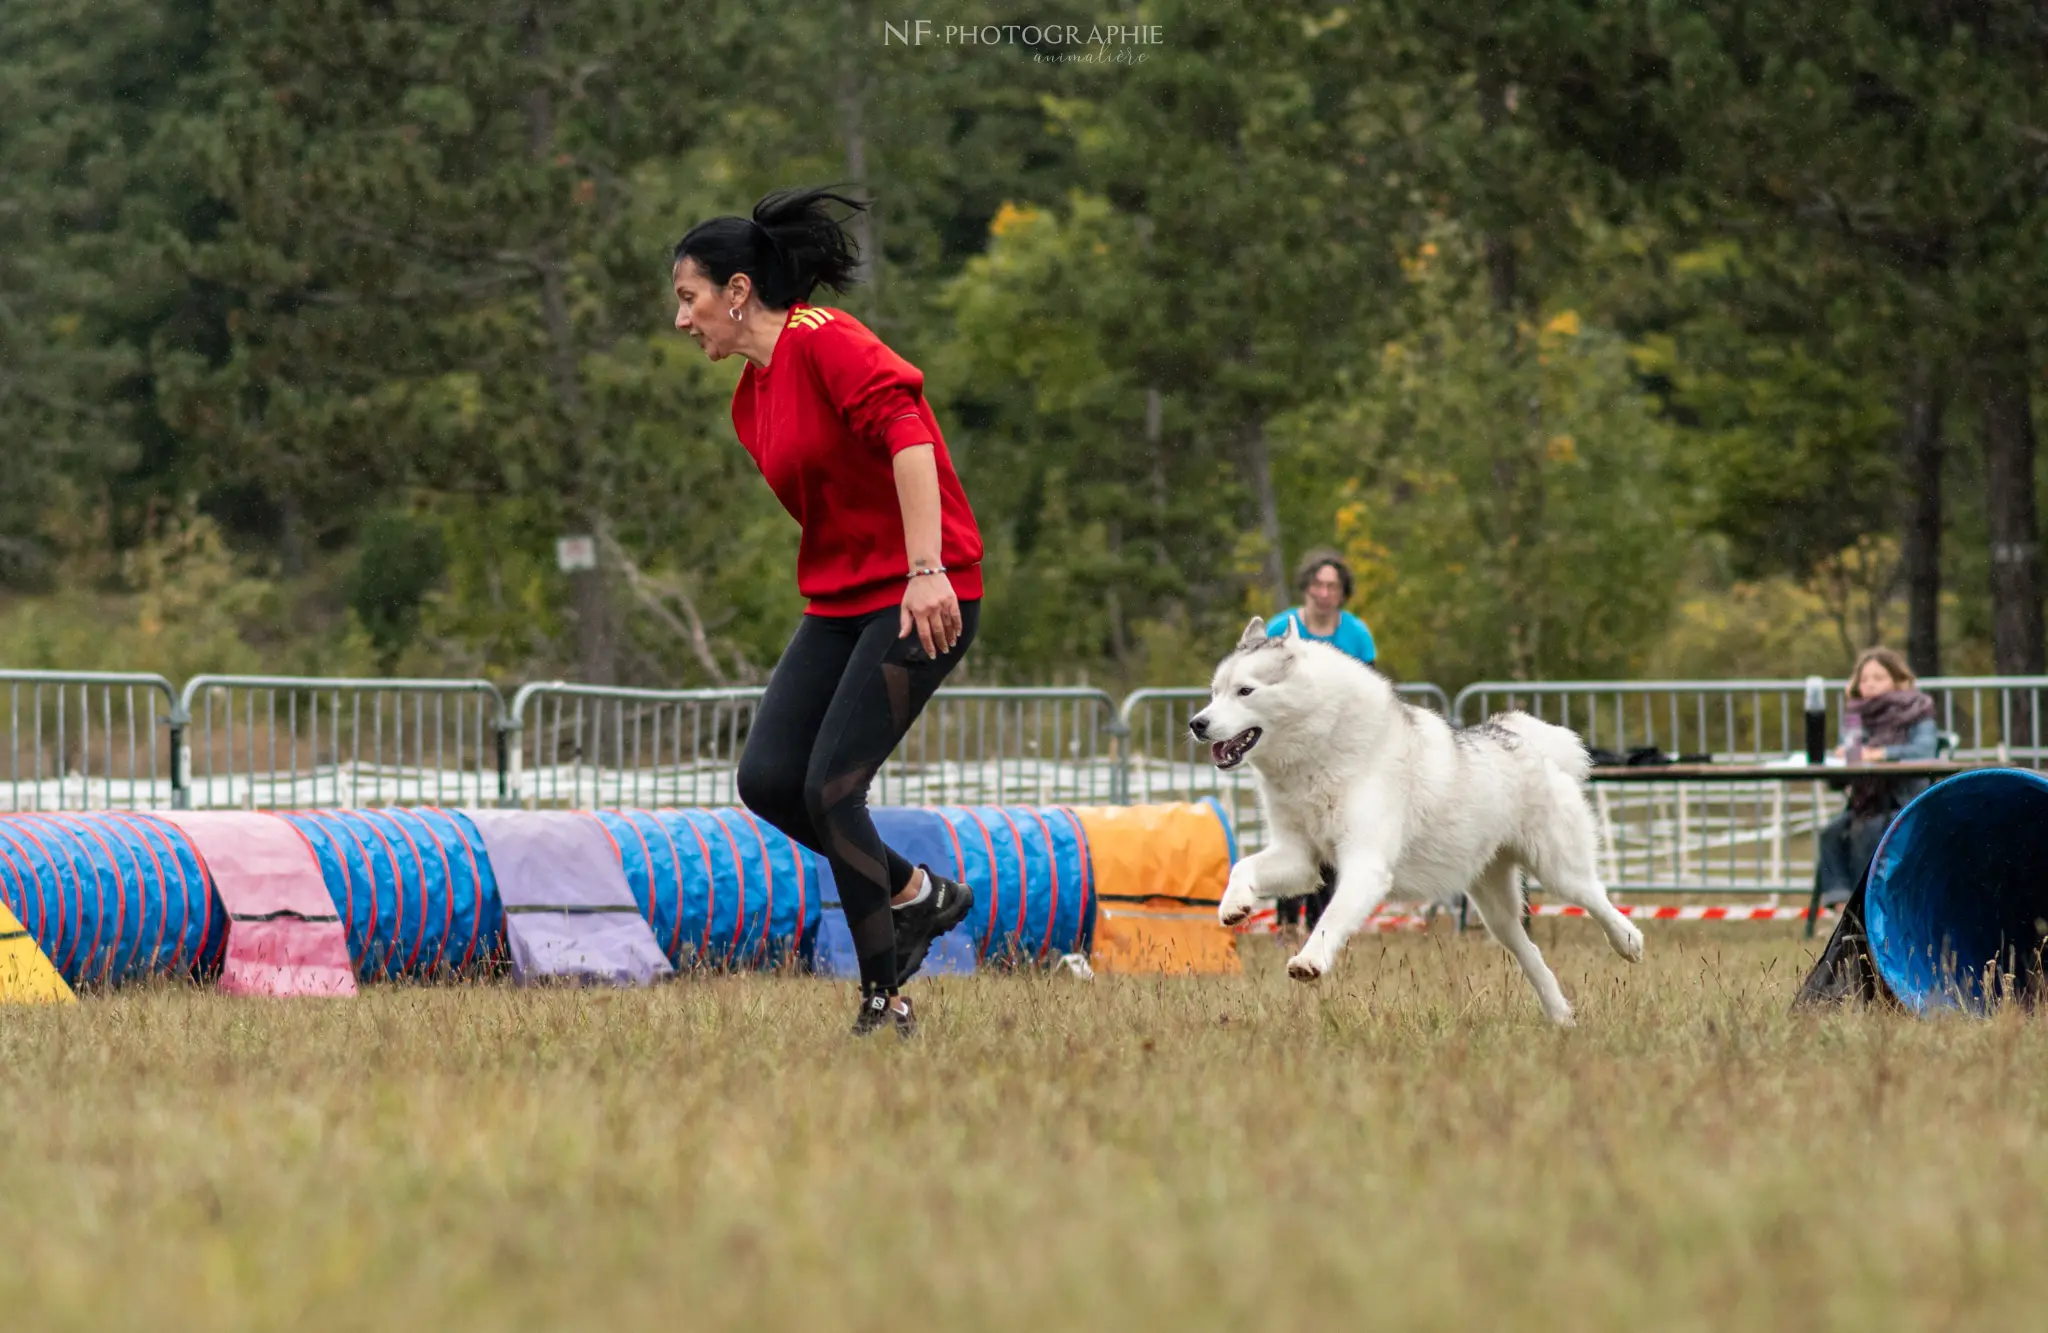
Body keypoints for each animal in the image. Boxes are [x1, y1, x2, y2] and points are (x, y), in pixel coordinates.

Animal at [1196, 622, 1638, 1027]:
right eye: (1214, 692)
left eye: (1245, 691)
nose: (1196, 724)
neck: (1319, 752)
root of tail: (1514, 733)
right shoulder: (1300, 857)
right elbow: (1243, 867)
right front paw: (1235, 905)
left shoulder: (1365, 865)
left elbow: (1330, 919)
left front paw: (1309, 961)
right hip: (1495, 911)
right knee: (1530, 952)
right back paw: (1560, 1016)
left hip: (1559, 872)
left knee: (1597, 899)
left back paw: (1629, 942)